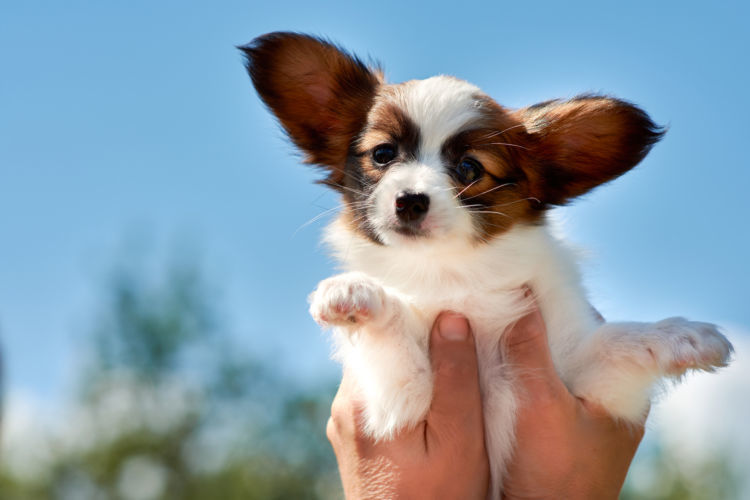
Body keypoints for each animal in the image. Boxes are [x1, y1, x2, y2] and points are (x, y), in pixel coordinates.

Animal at [241, 33, 736, 498]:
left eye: (468, 168)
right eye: (383, 155)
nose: (410, 200)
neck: (454, 273)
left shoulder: (582, 381)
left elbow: (619, 341)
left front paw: (683, 334)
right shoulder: (403, 399)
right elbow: (396, 321)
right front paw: (353, 291)